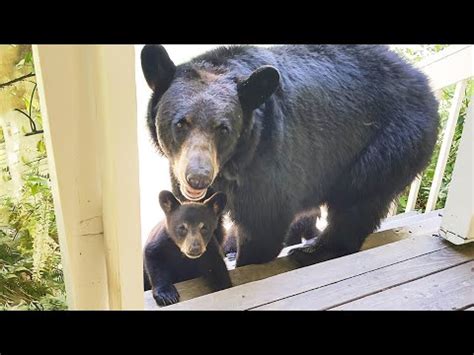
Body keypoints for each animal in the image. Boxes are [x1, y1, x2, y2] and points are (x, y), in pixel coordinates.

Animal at [140, 45, 436, 268]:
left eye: (223, 129)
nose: (198, 178)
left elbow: (264, 222)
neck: (232, 163)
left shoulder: (267, 160)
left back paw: (314, 251)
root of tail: (424, 84)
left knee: (357, 201)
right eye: (181, 123)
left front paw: (246, 260)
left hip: (390, 142)